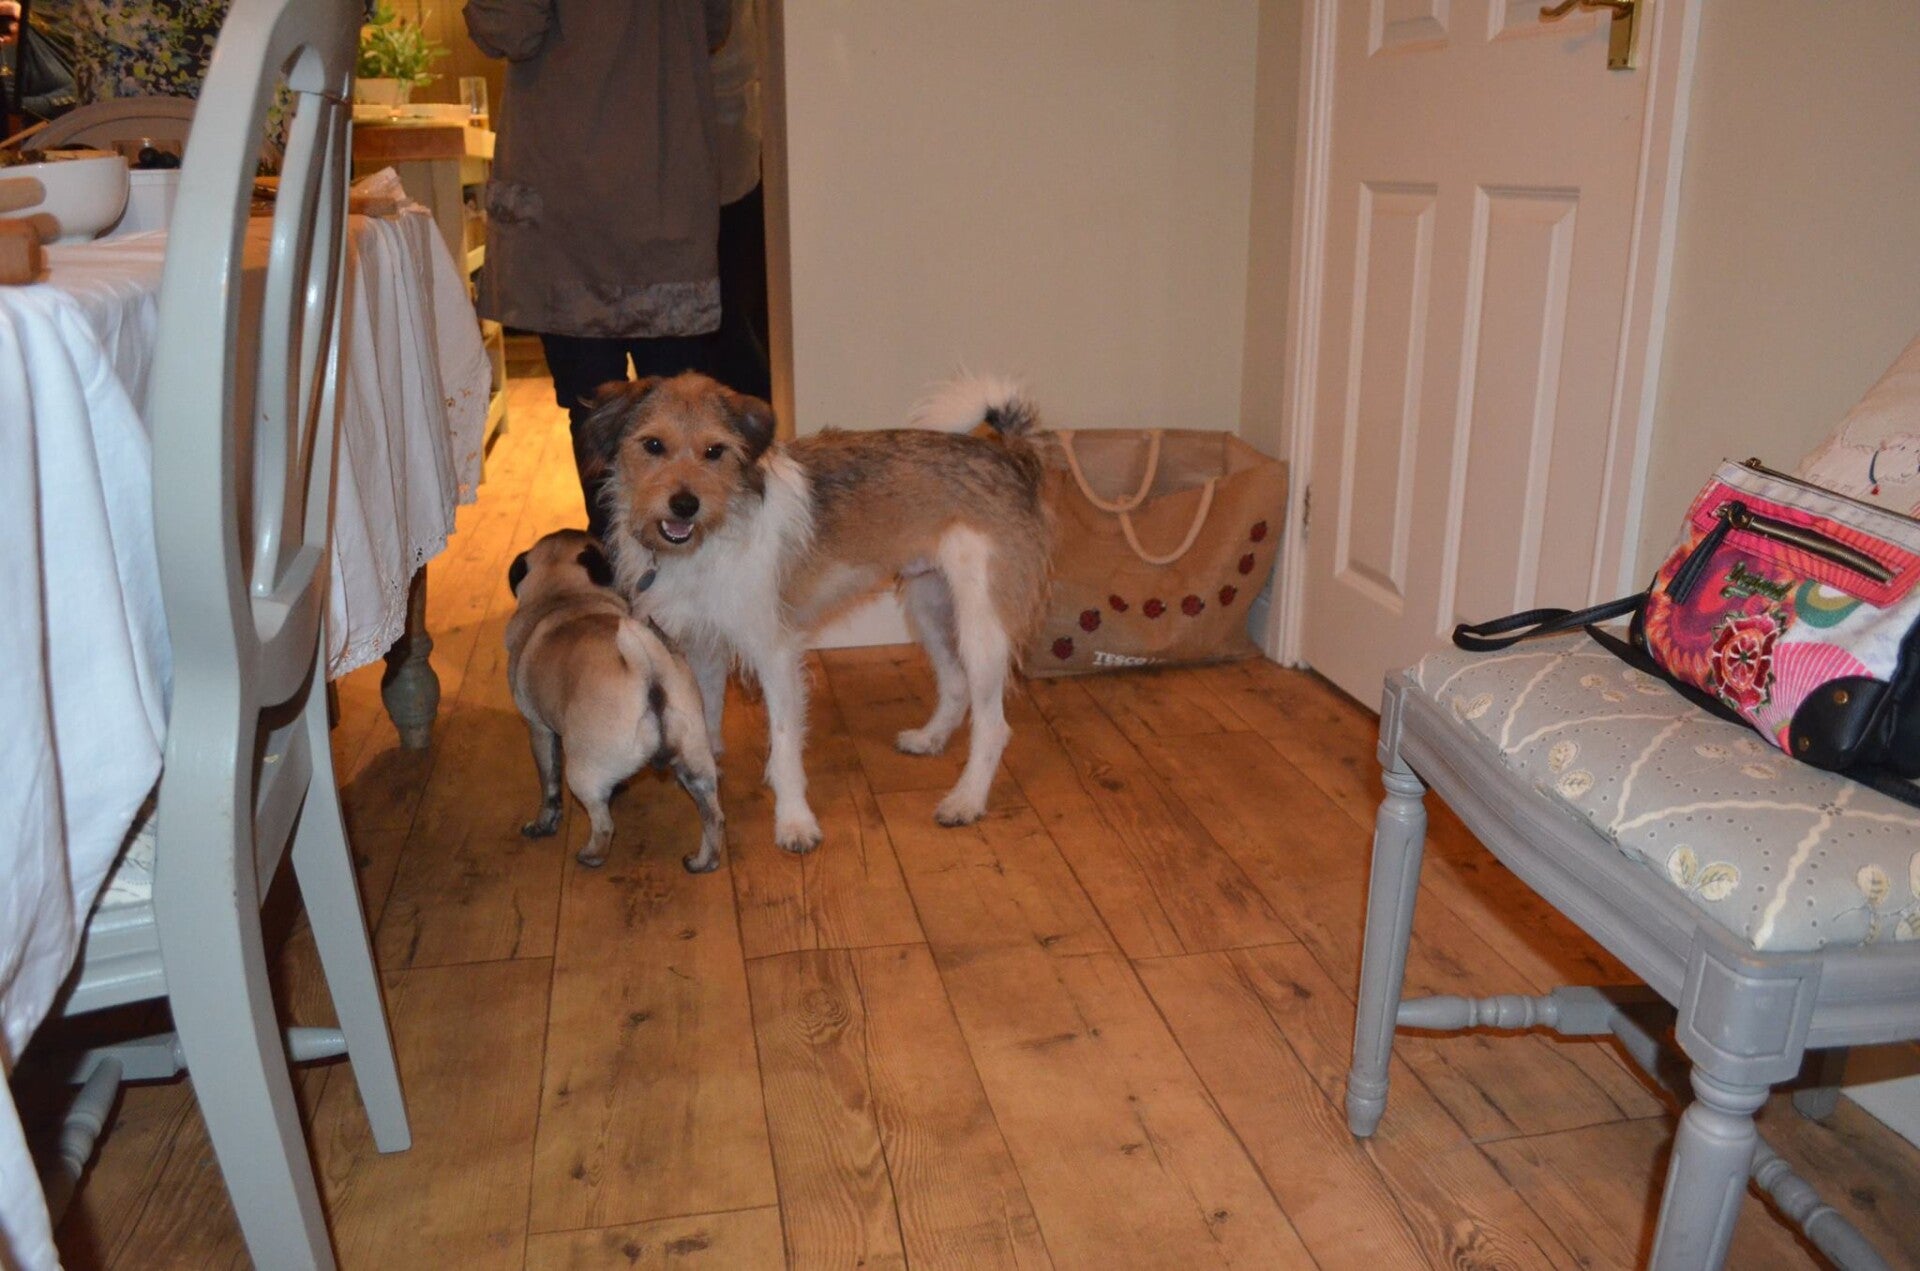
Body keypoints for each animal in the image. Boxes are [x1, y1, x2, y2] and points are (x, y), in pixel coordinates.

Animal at [505, 529, 725, 872]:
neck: (564, 596)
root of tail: (650, 671)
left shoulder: (538, 728)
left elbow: (548, 787)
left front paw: (543, 825)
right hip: (696, 763)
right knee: (713, 816)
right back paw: (702, 862)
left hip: (582, 774)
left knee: (604, 823)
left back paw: (591, 855)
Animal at [577, 372, 1051, 854]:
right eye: (653, 445)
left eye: (715, 451)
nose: (685, 505)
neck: (714, 534)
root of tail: (1007, 454)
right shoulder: (702, 646)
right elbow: (706, 713)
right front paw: (707, 765)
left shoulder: (775, 653)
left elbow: (785, 745)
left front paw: (794, 822)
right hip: (928, 606)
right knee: (955, 685)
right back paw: (930, 739)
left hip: (982, 629)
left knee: (993, 726)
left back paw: (966, 800)